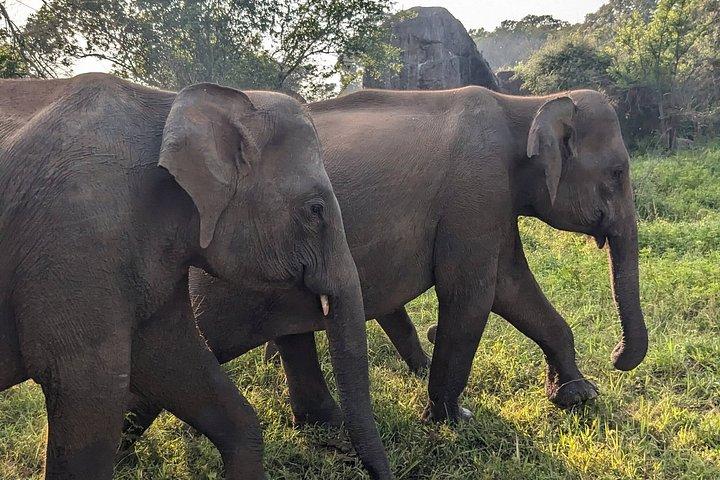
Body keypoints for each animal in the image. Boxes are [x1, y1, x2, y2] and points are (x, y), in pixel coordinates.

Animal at [0, 74, 390, 479]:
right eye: (315, 209)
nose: (357, 463)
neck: (172, 106)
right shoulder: (79, 238)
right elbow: (89, 390)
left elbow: (175, 359)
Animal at [118, 85, 648, 448]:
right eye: (618, 173)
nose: (618, 355)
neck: (522, 105)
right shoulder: (476, 192)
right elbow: (472, 294)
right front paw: (451, 420)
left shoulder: (493, 203)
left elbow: (511, 288)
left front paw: (578, 396)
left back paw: (325, 427)